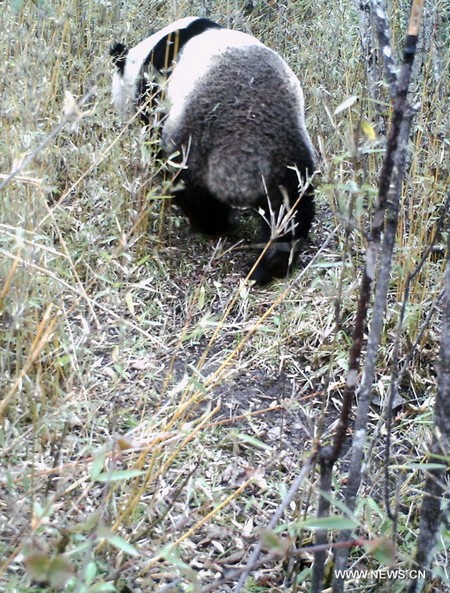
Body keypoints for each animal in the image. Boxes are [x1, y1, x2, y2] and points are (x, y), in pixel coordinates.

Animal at [110, 14, 316, 282]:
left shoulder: (154, 89)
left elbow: (152, 137)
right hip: (288, 155)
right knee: (292, 209)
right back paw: (271, 264)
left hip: (195, 146)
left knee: (193, 193)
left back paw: (217, 226)